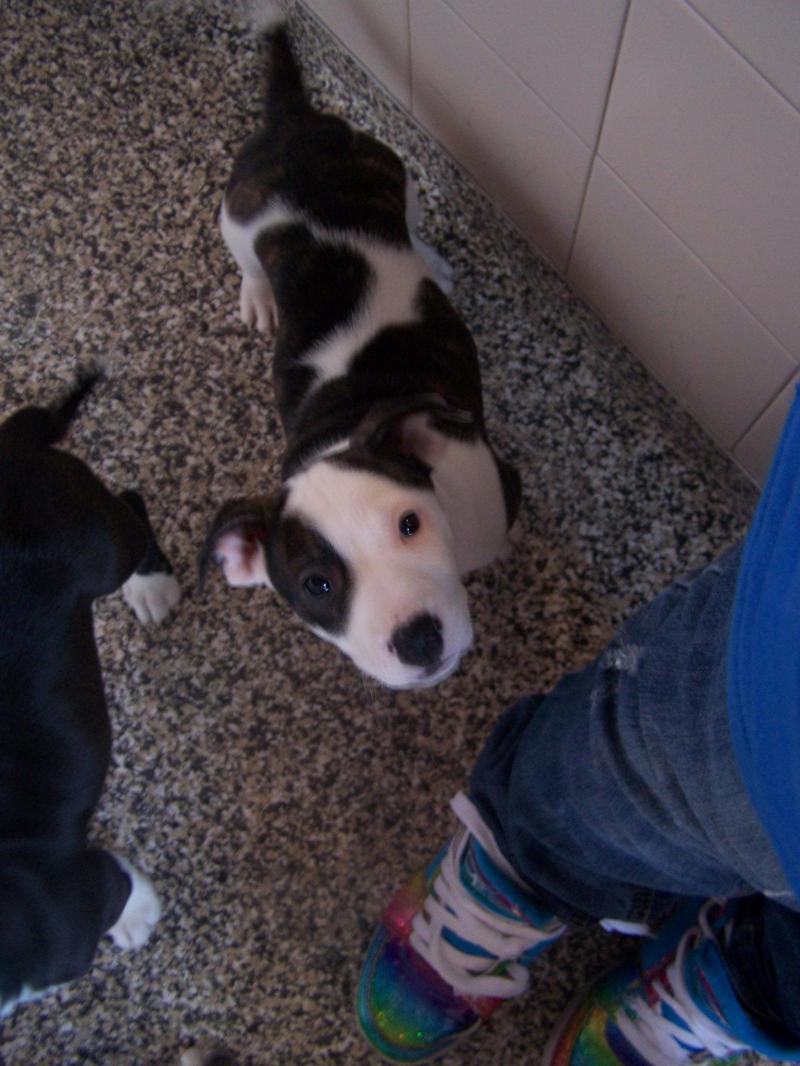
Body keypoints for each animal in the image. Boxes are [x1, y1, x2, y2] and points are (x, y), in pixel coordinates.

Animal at [0, 372, 180, 1015]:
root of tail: (13, 449)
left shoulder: (71, 899)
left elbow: (122, 885)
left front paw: (138, 920)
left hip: (99, 545)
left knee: (131, 504)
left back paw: (152, 586)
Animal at [201, 13, 521, 689]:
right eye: (316, 585)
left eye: (409, 524)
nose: (418, 638)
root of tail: (292, 123)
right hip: (234, 218)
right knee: (250, 260)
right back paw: (259, 294)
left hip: (394, 174)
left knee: (410, 220)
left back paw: (427, 259)